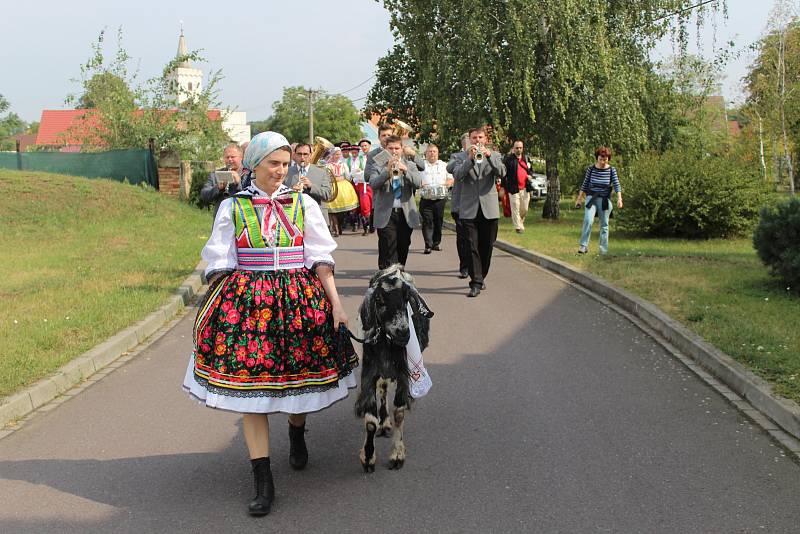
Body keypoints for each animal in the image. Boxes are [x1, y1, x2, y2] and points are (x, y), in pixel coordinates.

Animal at [354, 264, 432, 474]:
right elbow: (370, 421)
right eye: (379, 299)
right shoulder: (369, 373)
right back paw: (381, 421)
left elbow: (399, 412)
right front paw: (368, 458)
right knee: (381, 388)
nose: (403, 332)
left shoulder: (404, 376)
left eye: (406, 297)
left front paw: (397, 455)